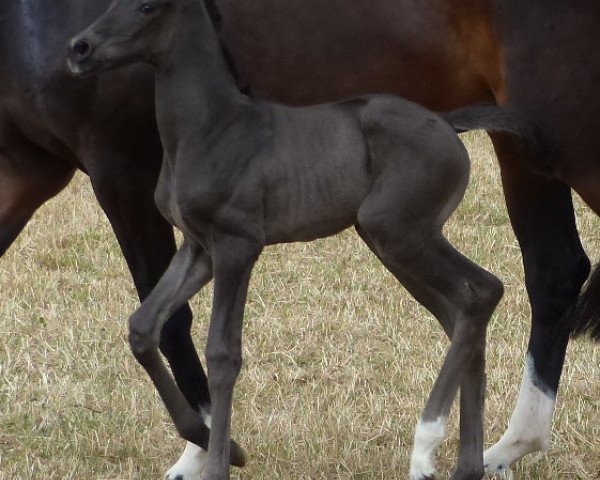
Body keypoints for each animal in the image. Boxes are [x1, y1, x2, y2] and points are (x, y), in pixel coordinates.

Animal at [2, 0, 596, 478]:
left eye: (148, 5)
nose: (79, 49)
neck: (213, 126)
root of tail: (449, 125)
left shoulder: (231, 242)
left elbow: (221, 351)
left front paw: (214, 458)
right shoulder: (197, 249)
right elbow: (145, 324)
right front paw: (211, 443)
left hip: (409, 229)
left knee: (485, 295)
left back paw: (430, 446)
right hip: (396, 238)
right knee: (474, 302)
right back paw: (468, 460)